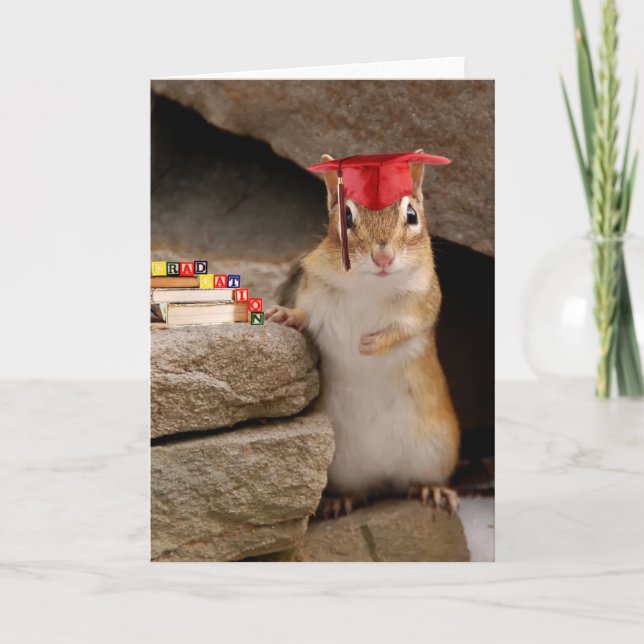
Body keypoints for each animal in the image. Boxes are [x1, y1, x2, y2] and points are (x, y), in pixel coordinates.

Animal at [266, 151, 460, 516]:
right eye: (345, 216)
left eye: (411, 215)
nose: (383, 257)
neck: (370, 286)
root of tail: (384, 475)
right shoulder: (314, 294)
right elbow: (305, 313)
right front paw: (283, 314)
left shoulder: (423, 304)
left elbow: (405, 329)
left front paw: (372, 344)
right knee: (359, 489)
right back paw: (342, 500)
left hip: (436, 450)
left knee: (419, 479)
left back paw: (431, 490)